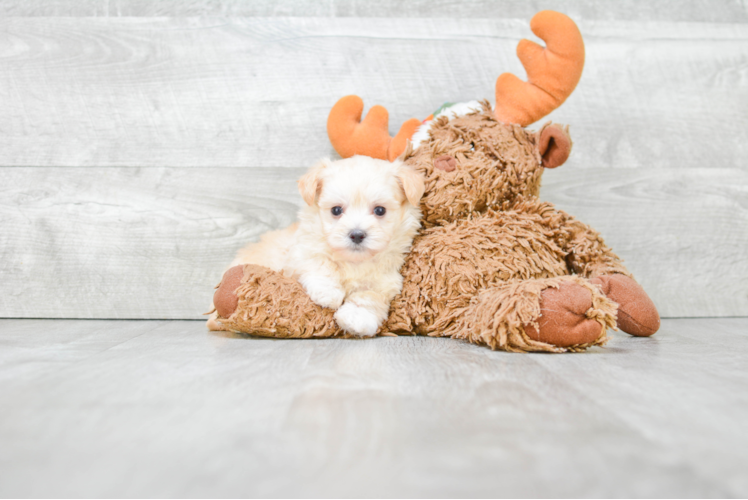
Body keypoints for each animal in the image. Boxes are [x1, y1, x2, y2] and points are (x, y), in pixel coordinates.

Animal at [228, 155, 426, 336]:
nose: (357, 234)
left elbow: (369, 296)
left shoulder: (386, 280)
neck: (353, 261)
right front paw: (329, 292)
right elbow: (321, 263)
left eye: (380, 210)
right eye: (336, 210)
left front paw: (356, 317)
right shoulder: (301, 253)